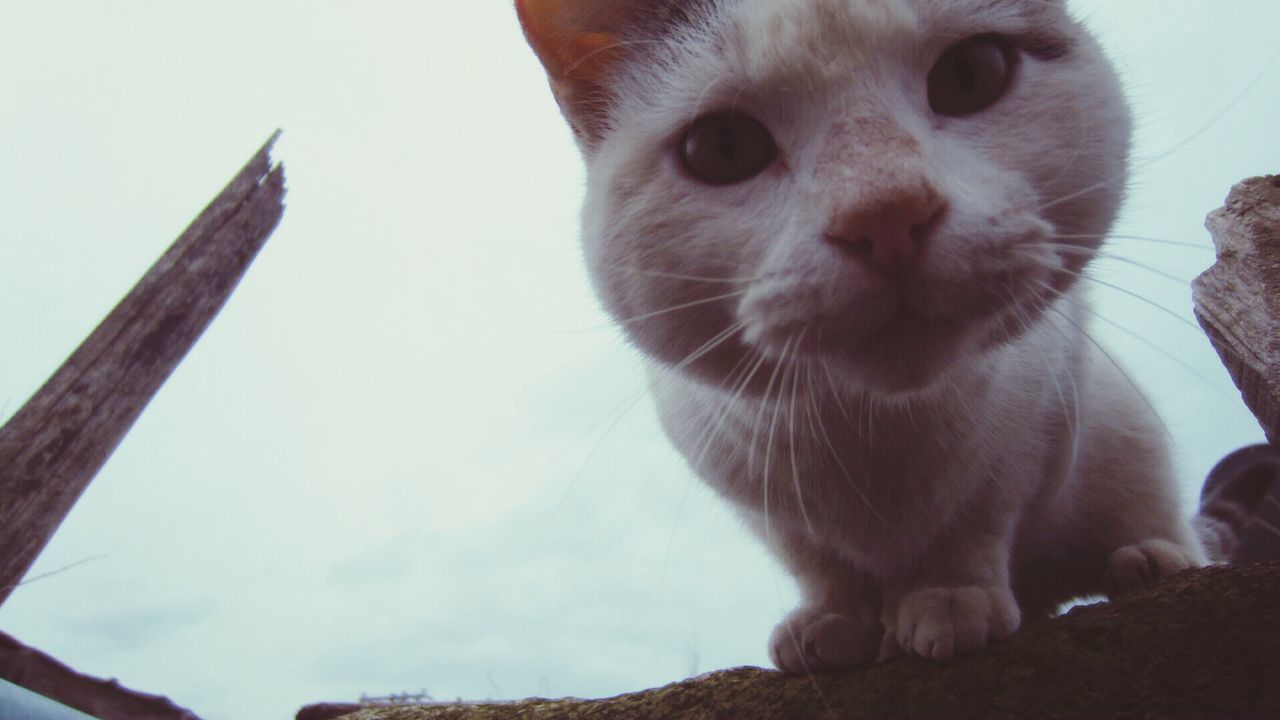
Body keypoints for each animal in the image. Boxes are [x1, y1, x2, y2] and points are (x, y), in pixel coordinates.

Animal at [512, 0, 1208, 671]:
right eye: (724, 147)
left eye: (971, 74)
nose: (887, 215)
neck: (875, 427)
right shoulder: (752, 494)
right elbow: (816, 559)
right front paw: (833, 621)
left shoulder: (1032, 418)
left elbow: (973, 519)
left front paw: (949, 596)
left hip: (1126, 435)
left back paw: (1146, 559)